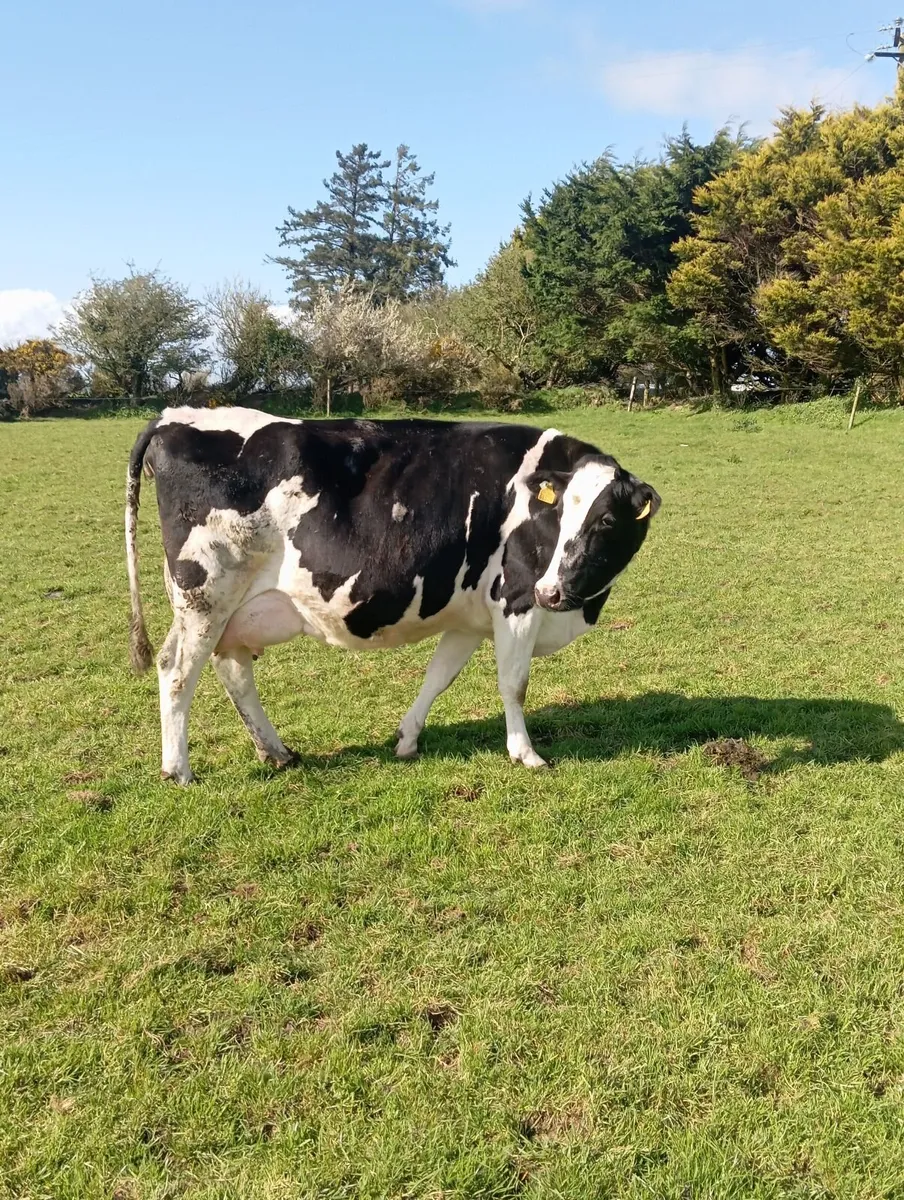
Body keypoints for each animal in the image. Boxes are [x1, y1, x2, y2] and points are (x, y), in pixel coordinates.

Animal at [125, 407, 661, 783]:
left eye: (606, 520)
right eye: (559, 516)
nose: (553, 590)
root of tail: (174, 417)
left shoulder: (470, 617)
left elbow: (438, 677)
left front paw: (406, 740)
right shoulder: (516, 600)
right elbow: (514, 683)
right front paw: (525, 754)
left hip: (233, 607)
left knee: (233, 670)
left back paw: (277, 753)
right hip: (205, 594)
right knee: (177, 670)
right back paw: (179, 770)